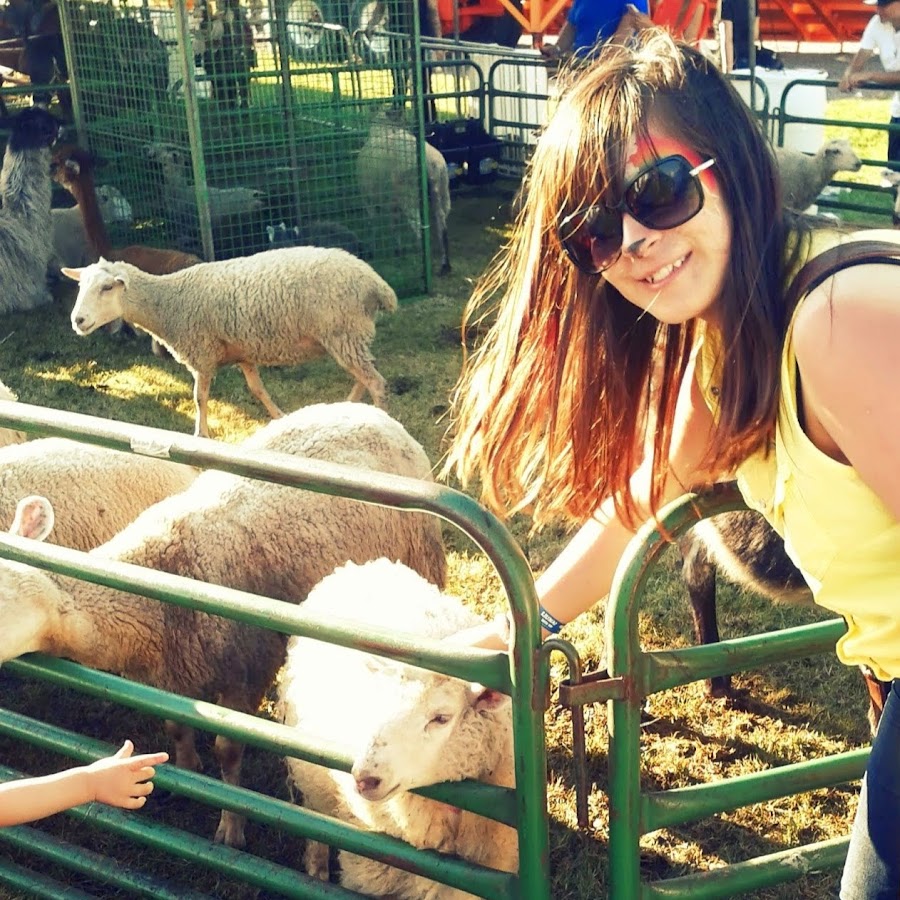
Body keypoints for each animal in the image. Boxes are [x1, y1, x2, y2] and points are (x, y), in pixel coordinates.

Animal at [0, 401, 448, 848]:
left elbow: (229, 750)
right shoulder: (168, 676)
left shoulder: (244, 676)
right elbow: (176, 724)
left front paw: (231, 826)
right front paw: (186, 769)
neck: (156, 585)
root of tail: (365, 410)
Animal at [64, 249, 397, 437]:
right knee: (364, 378)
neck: (169, 302)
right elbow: (257, 389)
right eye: (80, 286)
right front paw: (280, 418)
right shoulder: (243, 353)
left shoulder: (201, 354)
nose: (77, 320)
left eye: (107, 287)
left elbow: (199, 397)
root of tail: (377, 283)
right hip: (348, 337)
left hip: (343, 333)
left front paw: (201, 436)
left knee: (377, 383)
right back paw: (349, 408)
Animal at [357, 118, 452, 275]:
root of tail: (431, 162)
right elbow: (394, 225)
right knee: (442, 226)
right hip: (441, 193)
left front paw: (371, 250)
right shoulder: (393, 202)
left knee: (419, 227)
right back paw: (445, 265)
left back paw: (423, 261)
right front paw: (398, 249)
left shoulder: (368, 199)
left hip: (409, 195)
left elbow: (371, 224)